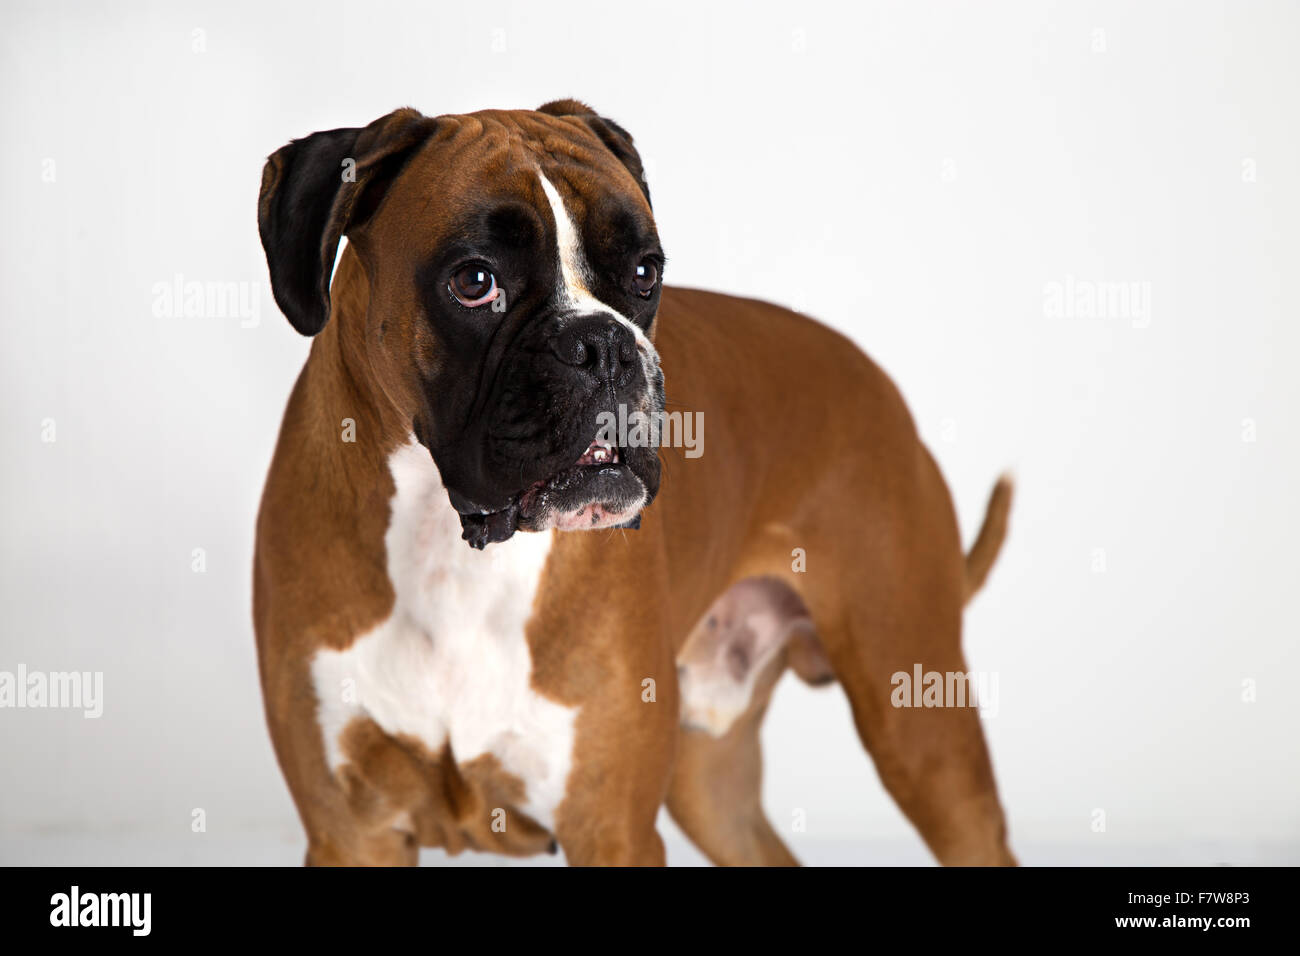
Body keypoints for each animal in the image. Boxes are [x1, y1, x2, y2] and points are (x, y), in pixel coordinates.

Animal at [253, 98, 1019, 868]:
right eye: (475, 282)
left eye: (646, 271)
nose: (606, 344)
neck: (448, 550)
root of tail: (880, 381)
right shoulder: (352, 836)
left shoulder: (611, 831)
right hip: (714, 785)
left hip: (921, 728)